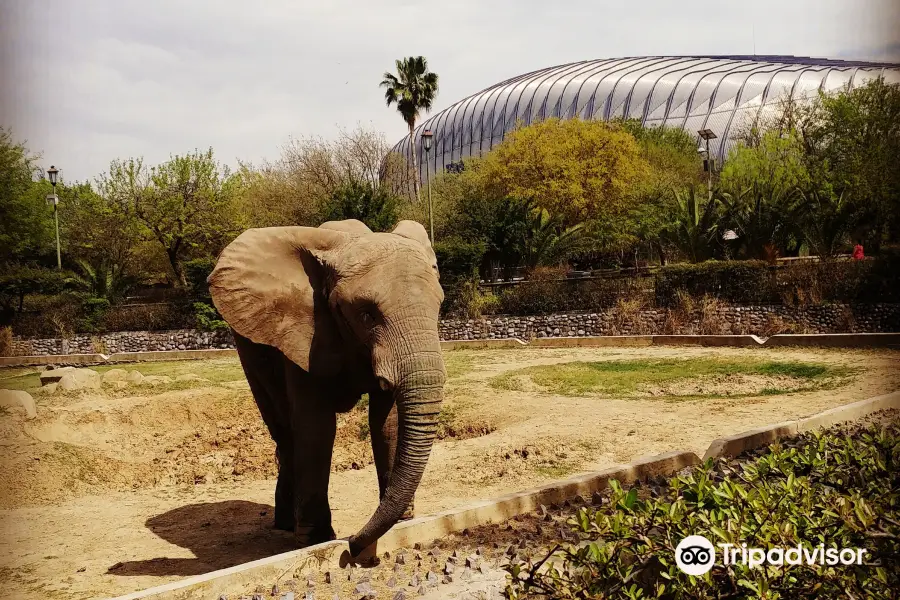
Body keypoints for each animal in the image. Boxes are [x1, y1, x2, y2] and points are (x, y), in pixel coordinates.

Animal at [204, 218, 442, 556]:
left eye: (439, 307)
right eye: (366, 315)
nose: (353, 545)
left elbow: (386, 422)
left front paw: (403, 520)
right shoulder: (302, 334)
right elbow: (316, 426)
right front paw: (317, 540)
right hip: (248, 347)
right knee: (283, 430)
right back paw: (286, 525)